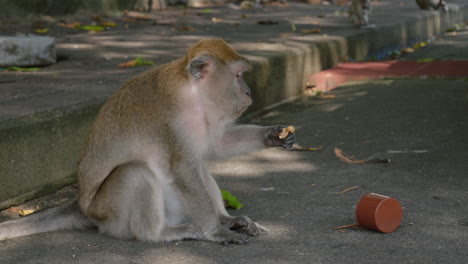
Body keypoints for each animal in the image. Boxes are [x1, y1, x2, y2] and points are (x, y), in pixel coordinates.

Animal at [0, 38, 294, 244]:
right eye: (238, 75)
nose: (248, 91)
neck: (191, 93)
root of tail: (83, 206)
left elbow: (214, 146)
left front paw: (271, 135)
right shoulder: (172, 121)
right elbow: (183, 169)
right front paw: (216, 232)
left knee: (197, 163)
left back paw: (228, 219)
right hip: (109, 213)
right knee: (136, 172)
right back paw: (161, 233)